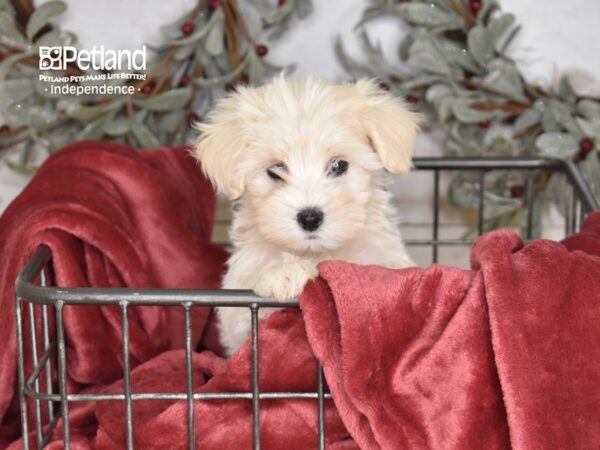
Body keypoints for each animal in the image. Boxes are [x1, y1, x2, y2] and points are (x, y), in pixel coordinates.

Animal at [195, 77, 420, 358]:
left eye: (339, 166)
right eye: (275, 170)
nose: (310, 218)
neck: (315, 254)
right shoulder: (237, 318)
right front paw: (285, 272)